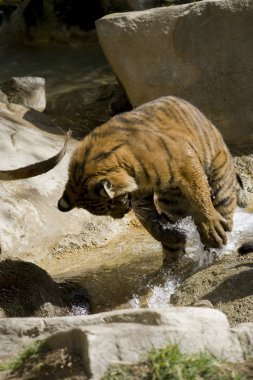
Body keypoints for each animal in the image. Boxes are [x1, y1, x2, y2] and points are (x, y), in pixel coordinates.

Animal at [56, 96, 245, 254]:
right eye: (107, 211)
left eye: (110, 206)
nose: (120, 215)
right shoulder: (139, 194)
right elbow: (147, 220)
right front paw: (171, 235)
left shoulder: (185, 162)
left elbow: (199, 196)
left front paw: (211, 229)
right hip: (172, 203)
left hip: (220, 182)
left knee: (223, 207)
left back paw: (214, 248)